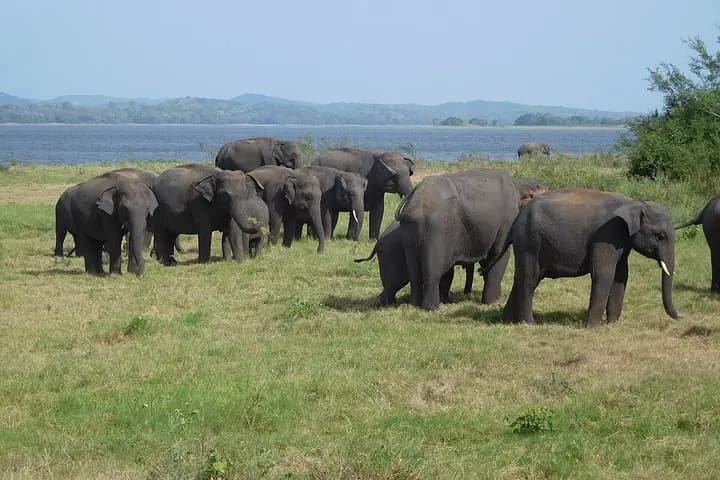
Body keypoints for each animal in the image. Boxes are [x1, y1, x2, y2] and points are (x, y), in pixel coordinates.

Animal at [356, 177, 546, 306]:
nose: (467, 292)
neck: (520, 183)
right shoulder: (505, 223)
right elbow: (499, 257)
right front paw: (491, 302)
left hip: (411, 234)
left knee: (415, 273)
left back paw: (414, 304)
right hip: (435, 230)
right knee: (431, 272)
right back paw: (431, 307)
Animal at [502, 188, 679, 327]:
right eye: (661, 236)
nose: (680, 316)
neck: (632, 202)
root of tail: (517, 218)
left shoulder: (622, 240)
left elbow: (621, 275)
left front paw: (612, 324)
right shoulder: (606, 234)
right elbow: (604, 273)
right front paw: (593, 327)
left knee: (523, 278)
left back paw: (508, 321)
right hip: (529, 241)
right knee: (529, 279)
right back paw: (528, 324)